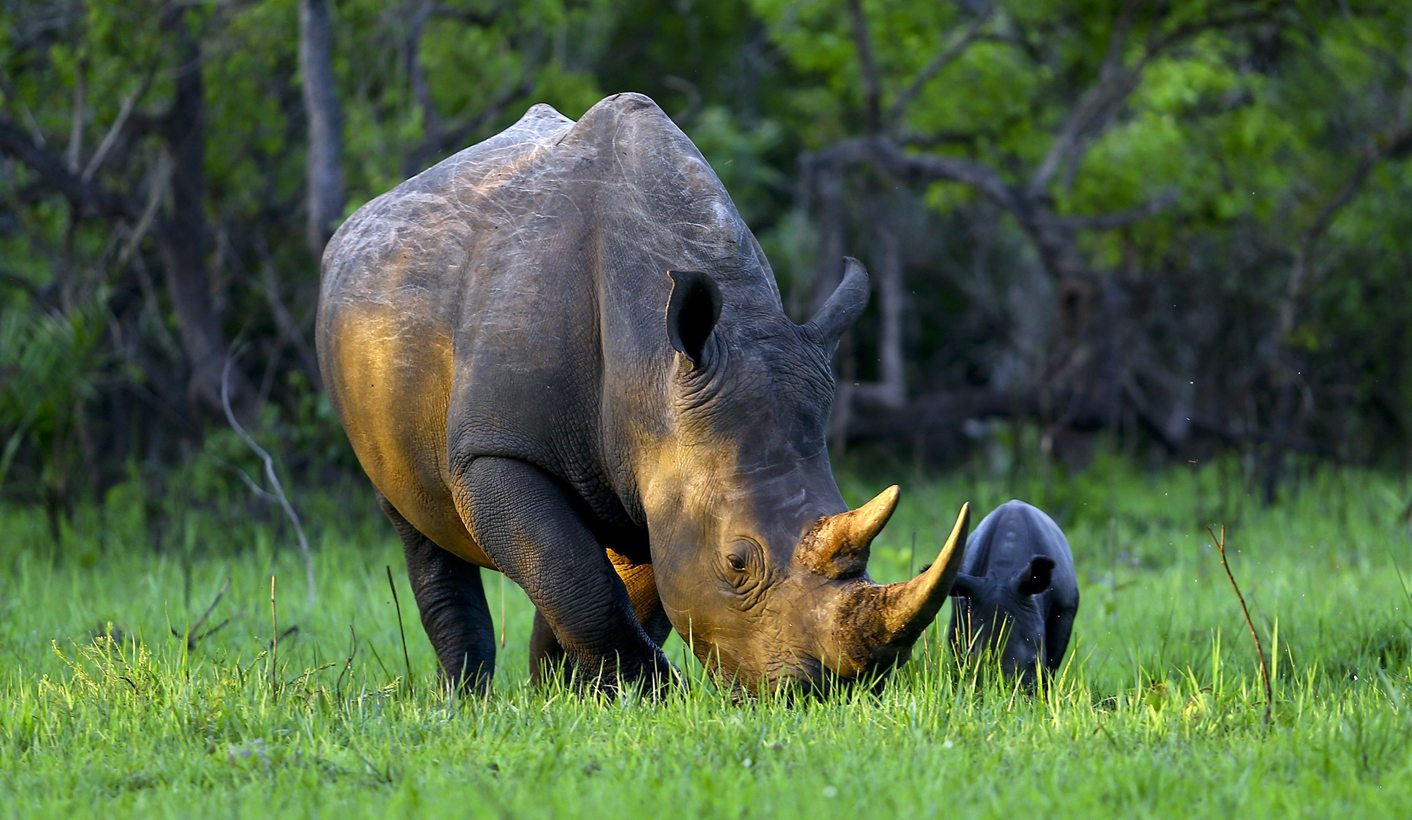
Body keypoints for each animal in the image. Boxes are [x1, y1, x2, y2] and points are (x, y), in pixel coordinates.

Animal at [316, 93, 970, 696]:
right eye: (737, 563)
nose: (829, 691)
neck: (654, 371)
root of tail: (353, 224)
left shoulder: (667, 458)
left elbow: (611, 580)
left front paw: (581, 697)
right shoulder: (493, 451)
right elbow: (575, 575)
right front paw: (653, 694)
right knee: (416, 526)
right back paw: (464, 700)